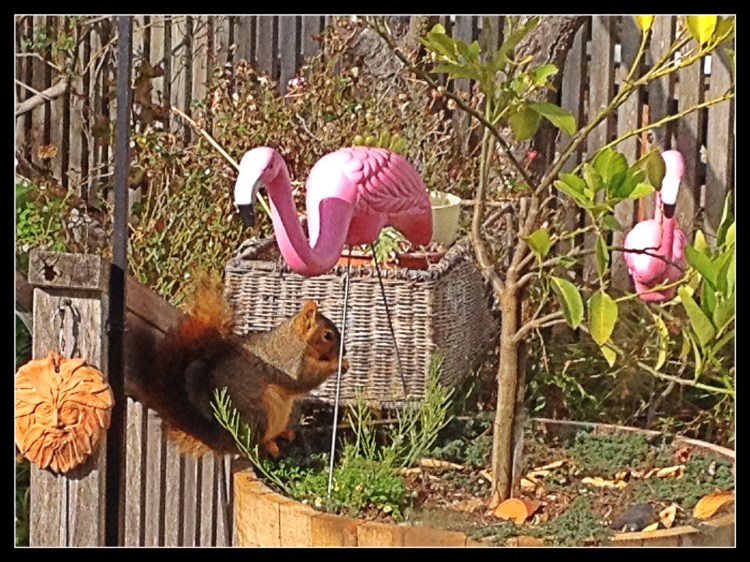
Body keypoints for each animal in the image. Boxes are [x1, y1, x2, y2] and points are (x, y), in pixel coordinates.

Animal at [126, 272, 348, 458]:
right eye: (328, 335)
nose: (344, 352)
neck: (295, 339)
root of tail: (223, 439)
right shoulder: (289, 361)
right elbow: (303, 380)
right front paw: (338, 364)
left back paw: (283, 434)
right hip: (259, 416)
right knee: (250, 446)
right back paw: (267, 446)